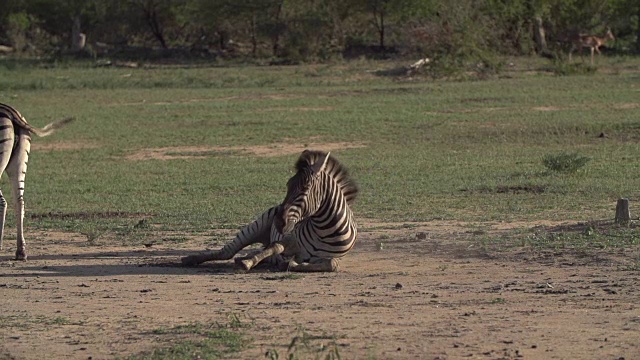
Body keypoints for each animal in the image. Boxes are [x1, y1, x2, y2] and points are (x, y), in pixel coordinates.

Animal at [182, 150, 358, 272]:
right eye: (288, 185)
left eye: (305, 189)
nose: (278, 222)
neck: (326, 231)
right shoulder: (289, 238)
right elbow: (276, 247)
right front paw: (248, 263)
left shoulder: (331, 257)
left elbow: (332, 264)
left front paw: (290, 264)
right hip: (256, 226)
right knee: (228, 252)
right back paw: (191, 259)